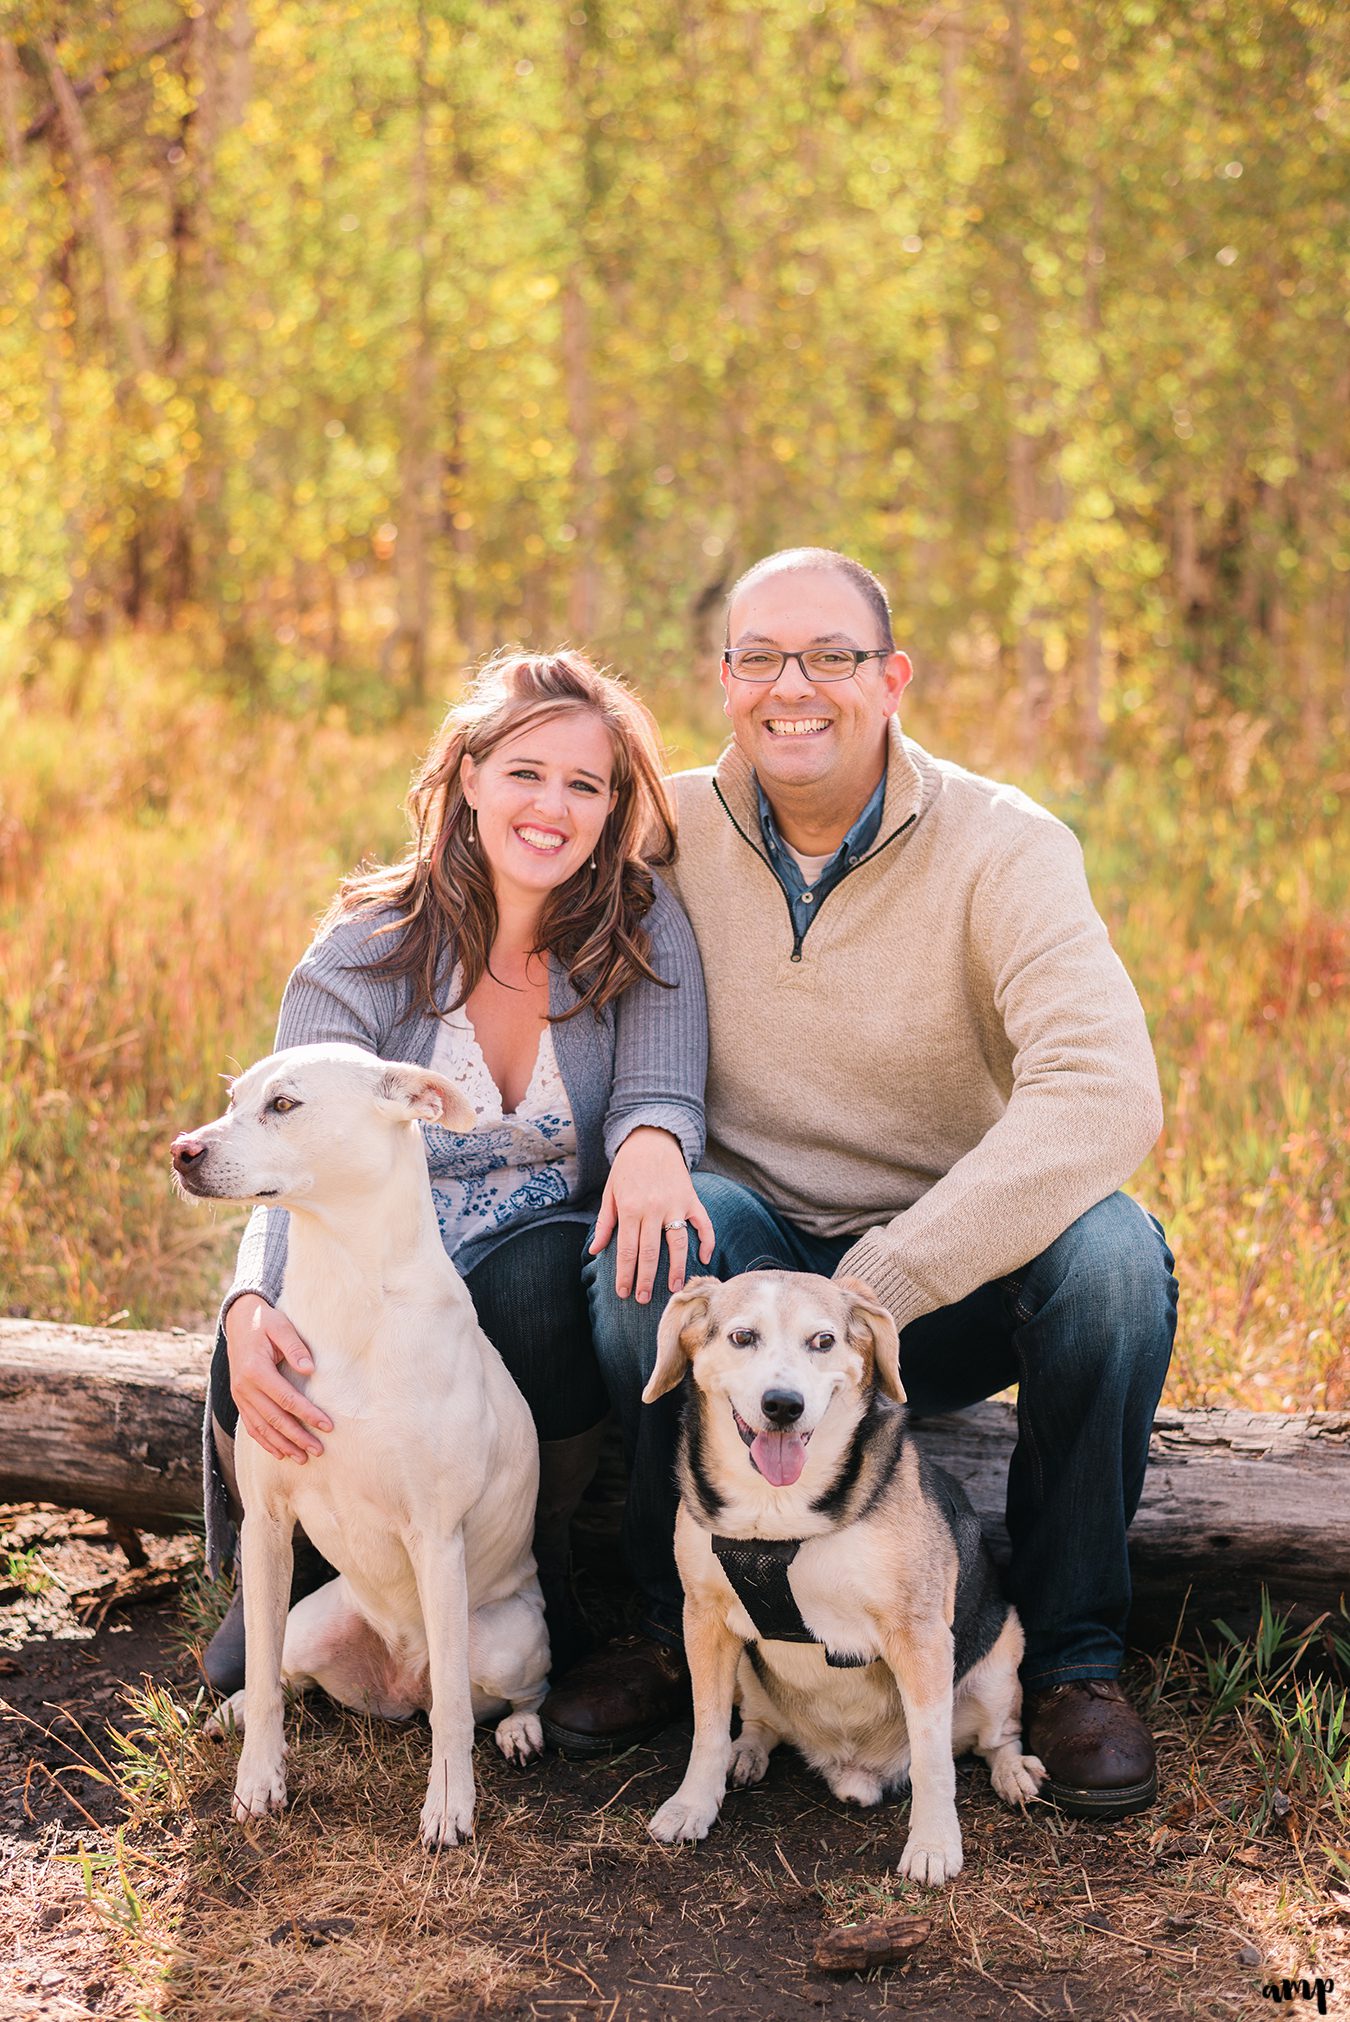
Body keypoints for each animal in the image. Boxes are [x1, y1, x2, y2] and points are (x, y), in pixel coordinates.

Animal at [172, 1043, 549, 1852]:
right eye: (234, 1098)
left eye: (284, 1104)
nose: (181, 1151)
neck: (348, 1291)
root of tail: (398, 1682)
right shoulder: (268, 1526)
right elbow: (262, 1668)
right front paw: (259, 1780)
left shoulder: (436, 1536)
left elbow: (454, 1714)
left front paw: (449, 1806)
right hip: (314, 1625)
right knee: (283, 1673)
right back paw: (236, 1712)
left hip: (506, 1636)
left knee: (495, 1693)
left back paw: (521, 1731)